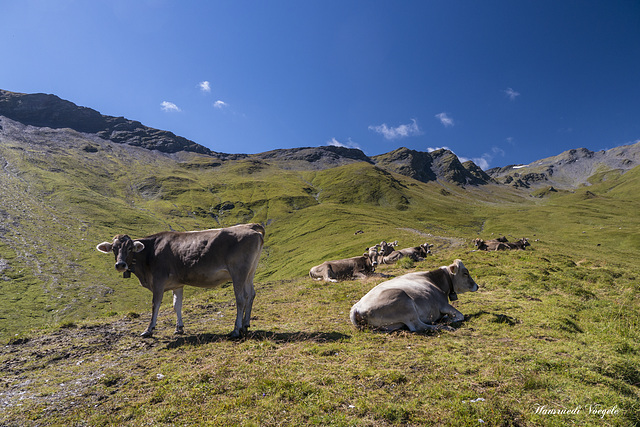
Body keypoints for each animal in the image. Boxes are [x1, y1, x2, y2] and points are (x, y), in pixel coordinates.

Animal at [95, 224, 264, 338]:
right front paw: (179, 328)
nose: (120, 265)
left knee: (240, 298)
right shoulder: (177, 284)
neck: (150, 253)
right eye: (114, 248)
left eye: (130, 248)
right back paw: (245, 325)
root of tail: (250, 226)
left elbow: (155, 305)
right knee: (251, 294)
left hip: (238, 272)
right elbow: (177, 305)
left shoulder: (158, 282)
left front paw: (148, 329)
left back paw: (236, 329)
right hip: (250, 271)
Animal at [350, 260, 480, 332]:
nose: (477, 286)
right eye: (465, 273)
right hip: (404, 301)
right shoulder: (443, 304)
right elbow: (460, 315)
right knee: (418, 326)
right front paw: (448, 319)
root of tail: (357, 306)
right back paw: (444, 327)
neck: (435, 281)